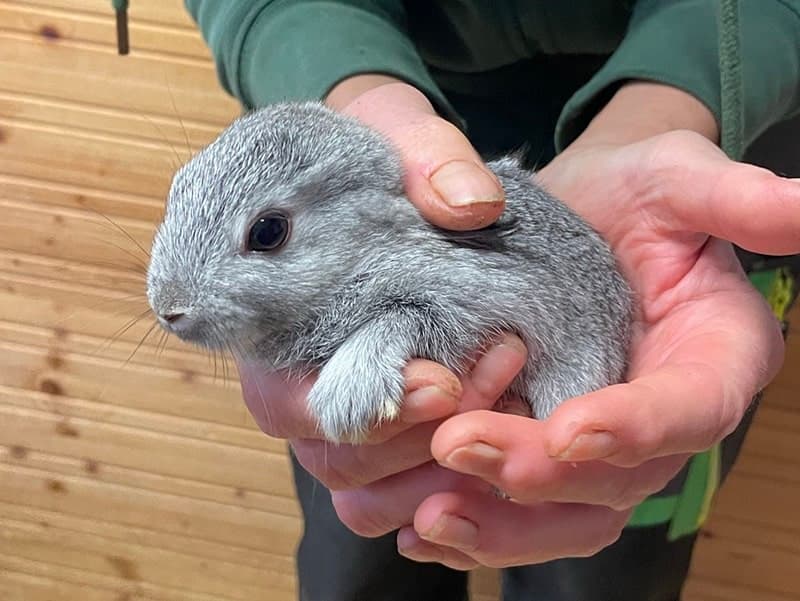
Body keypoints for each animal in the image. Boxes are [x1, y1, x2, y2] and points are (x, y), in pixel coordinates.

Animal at [146, 101, 634, 443]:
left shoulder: (478, 295)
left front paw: (346, 397)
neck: (362, 251)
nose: (170, 309)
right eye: (177, 189)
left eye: (268, 231)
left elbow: (404, 316)